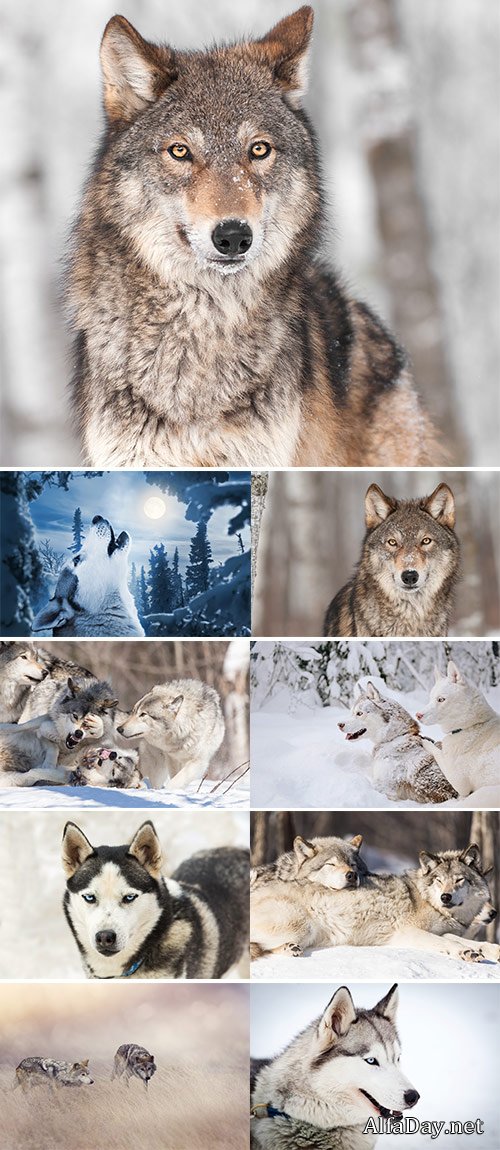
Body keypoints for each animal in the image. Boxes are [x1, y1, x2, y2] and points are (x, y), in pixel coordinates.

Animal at [251, 843, 499, 965]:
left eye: (459, 880)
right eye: (439, 880)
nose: (445, 897)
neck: (427, 900)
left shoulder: (443, 930)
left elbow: (466, 941)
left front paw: (487, 951)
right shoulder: (408, 932)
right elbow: (449, 942)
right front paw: (465, 952)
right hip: (300, 926)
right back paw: (289, 948)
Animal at [417, 661, 500, 796]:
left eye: (441, 699)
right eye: (430, 698)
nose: (417, 715)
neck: (469, 726)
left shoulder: (458, 782)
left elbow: (436, 752)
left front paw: (426, 742)